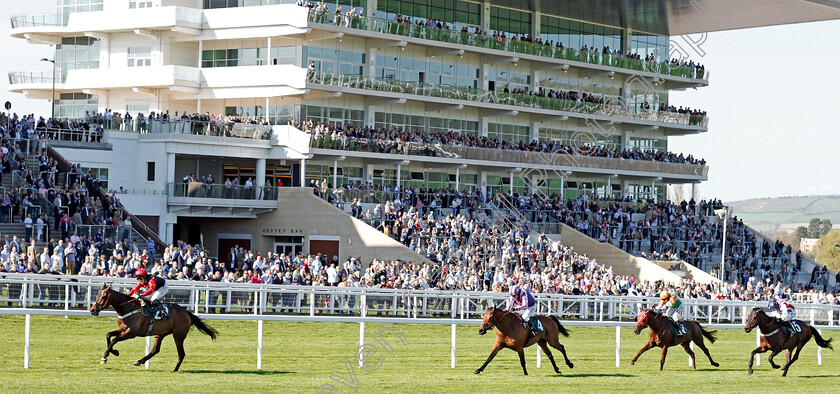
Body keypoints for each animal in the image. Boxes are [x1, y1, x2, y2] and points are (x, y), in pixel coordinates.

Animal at [90, 284, 218, 372]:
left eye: (103, 297)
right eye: (97, 295)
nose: (92, 310)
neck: (128, 307)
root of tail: (186, 312)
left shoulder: (131, 333)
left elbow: (114, 340)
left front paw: (105, 357)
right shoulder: (123, 329)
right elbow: (108, 335)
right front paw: (114, 352)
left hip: (178, 336)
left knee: (181, 353)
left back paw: (175, 369)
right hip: (160, 333)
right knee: (155, 349)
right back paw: (139, 361)